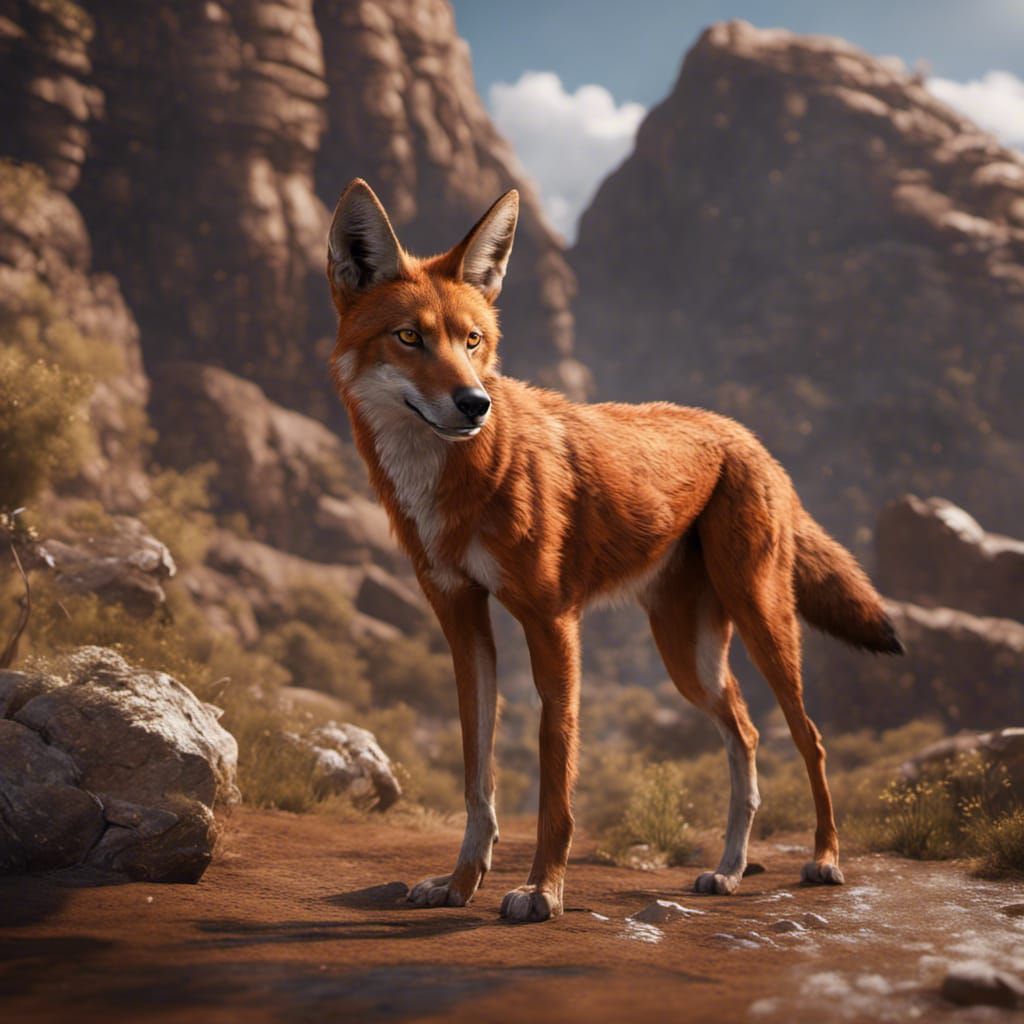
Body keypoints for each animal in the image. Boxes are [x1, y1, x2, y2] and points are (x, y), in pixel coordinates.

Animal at [326, 179, 903, 923]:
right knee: (745, 735)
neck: (456, 483)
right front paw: (459, 883)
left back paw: (826, 859)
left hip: (762, 625)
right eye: (409, 337)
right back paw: (729, 869)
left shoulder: (552, 623)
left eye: (472, 340)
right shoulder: (463, 625)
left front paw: (543, 891)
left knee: (811, 740)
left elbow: (555, 787)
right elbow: (478, 779)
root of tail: (747, 437)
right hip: (690, 662)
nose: (475, 403)